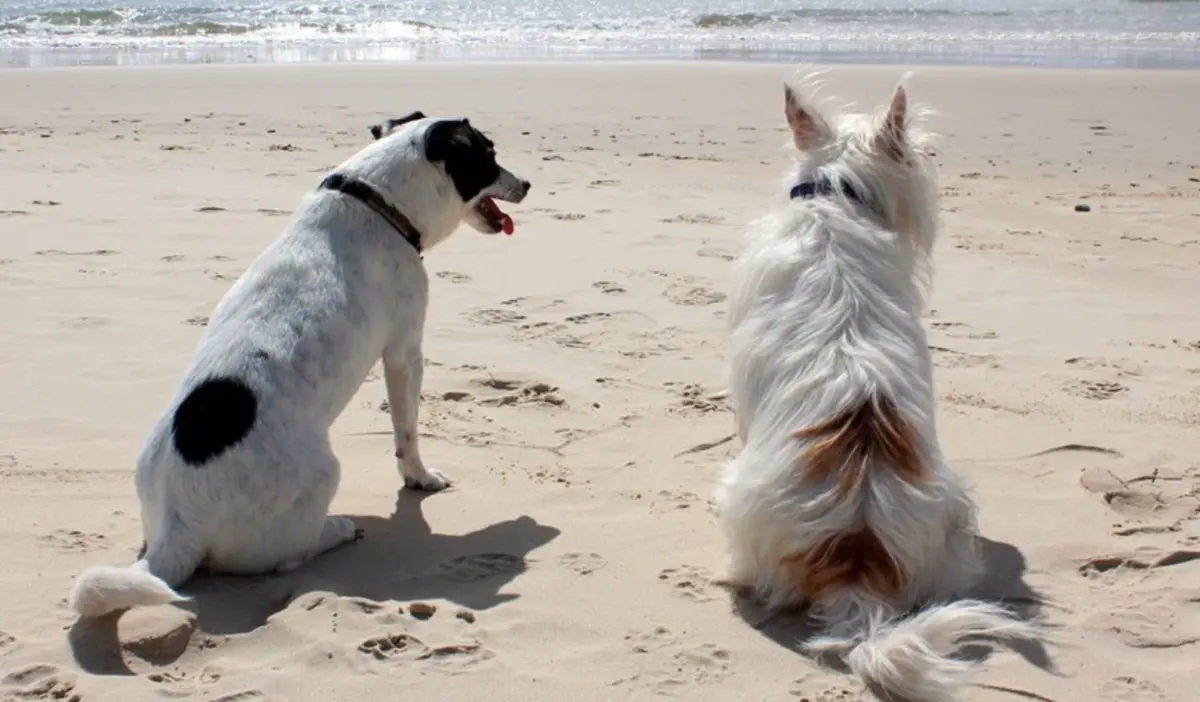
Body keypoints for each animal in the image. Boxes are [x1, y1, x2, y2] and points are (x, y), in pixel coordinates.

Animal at [69, 111, 530, 619]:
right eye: (488, 155)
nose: (528, 184)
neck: (376, 200)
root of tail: (177, 527)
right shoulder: (405, 353)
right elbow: (407, 435)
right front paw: (420, 478)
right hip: (323, 474)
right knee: (288, 556)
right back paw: (337, 529)